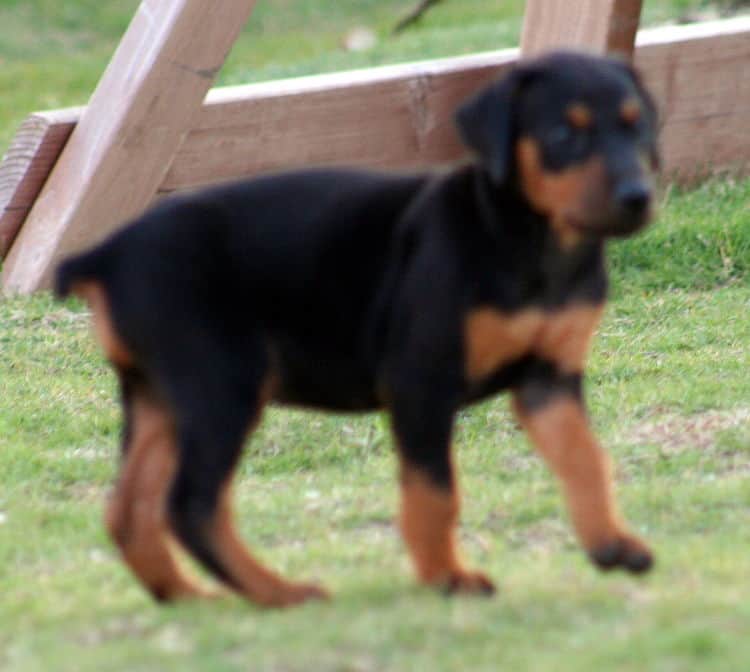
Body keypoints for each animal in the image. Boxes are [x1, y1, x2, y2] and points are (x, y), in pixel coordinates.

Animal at [55, 52, 660, 608]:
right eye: (564, 134)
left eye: (637, 126)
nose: (637, 197)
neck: (536, 245)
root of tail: (108, 254)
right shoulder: (421, 383)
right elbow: (435, 492)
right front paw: (446, 577)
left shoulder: (548, 380)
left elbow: (586, 459)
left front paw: (610, 543)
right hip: (220, 383)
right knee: (191, 505)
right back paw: (278, 592)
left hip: (160, 396)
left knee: (129, 510)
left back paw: (188, 596)